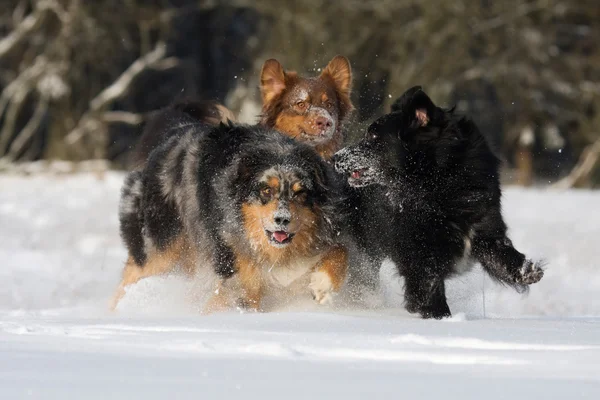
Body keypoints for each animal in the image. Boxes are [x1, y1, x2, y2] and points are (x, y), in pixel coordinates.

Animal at [112, 122, 346, 312]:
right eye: (266, 190)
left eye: (300, 193)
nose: (282, 219)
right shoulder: (235, 269)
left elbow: (339, 251)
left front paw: (322, 285)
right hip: (163, 245)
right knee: (134, 272)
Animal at [336, 86, 548, 318]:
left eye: (373, 136)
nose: (337, 157)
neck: (440, 179)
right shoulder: (420, 253)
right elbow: (429, 290)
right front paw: (441, 317)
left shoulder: (485, 226)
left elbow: (502, 253)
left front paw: (528, 270)